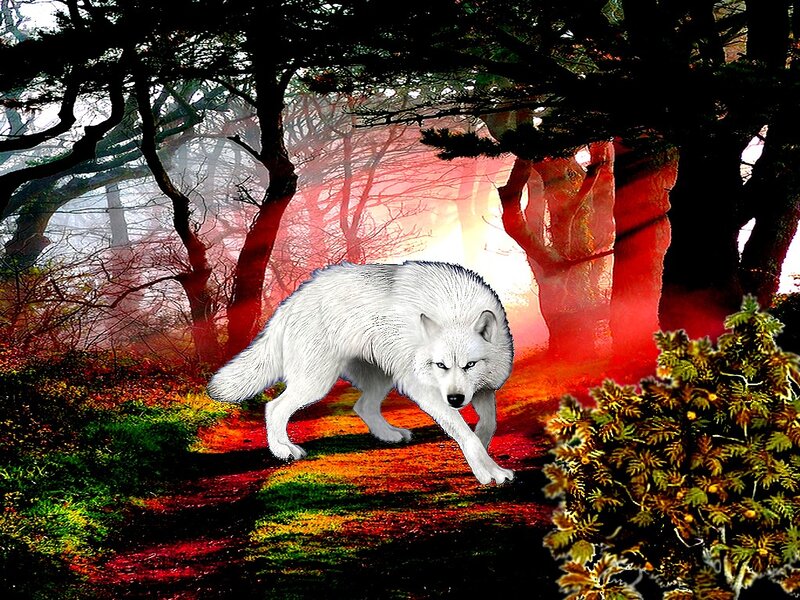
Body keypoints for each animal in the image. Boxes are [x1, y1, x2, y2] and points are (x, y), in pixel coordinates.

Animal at [208, 261, 514, 485]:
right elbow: (466, 434)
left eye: (470, 365)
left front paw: (484, 450)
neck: (456, 310)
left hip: (384, 377)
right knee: (274, 407)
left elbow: (487, 425)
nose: (455, 399)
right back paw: (283, 450)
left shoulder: (484, 390)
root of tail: (291, 301)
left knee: (362, 406)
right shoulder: (428, 392)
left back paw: (388, 434)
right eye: (441, 365)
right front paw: (490, 472)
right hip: (317, 382)